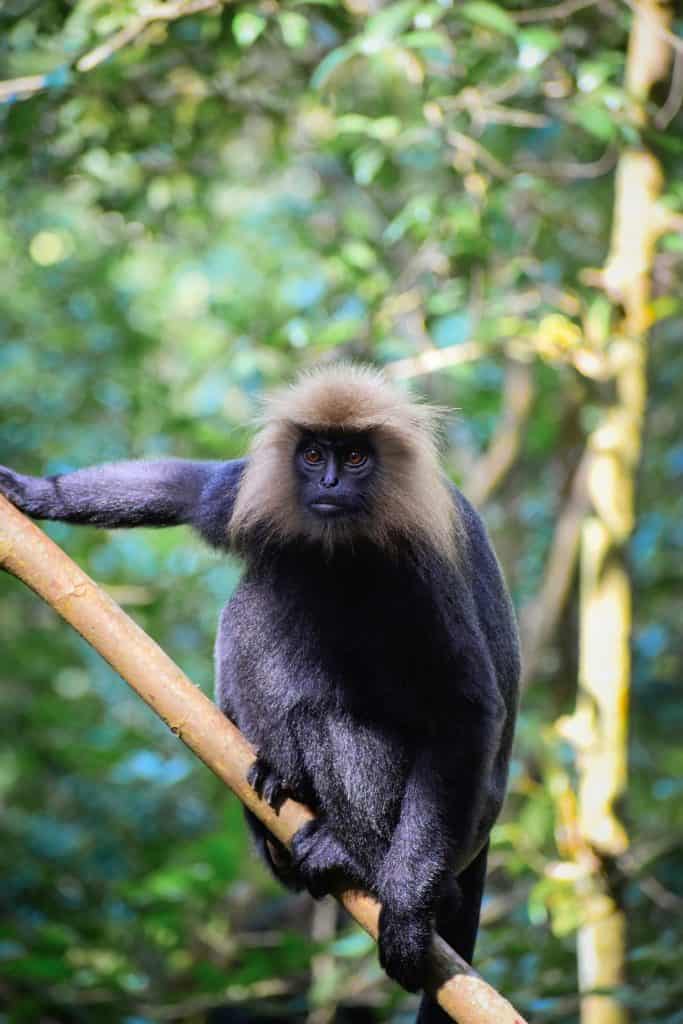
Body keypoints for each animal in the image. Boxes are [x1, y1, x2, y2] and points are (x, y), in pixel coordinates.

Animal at [0, 363, 520, 1023]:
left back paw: (363, 862)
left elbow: (465, 710)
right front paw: (31, 491)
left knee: (331, 710)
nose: (327, 481)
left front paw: (404, 914)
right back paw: (280, 785)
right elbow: (196, 490)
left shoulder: (418, 568)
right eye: (314, 454)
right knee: (265, 591)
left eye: (355, 457)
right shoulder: (264, 497)